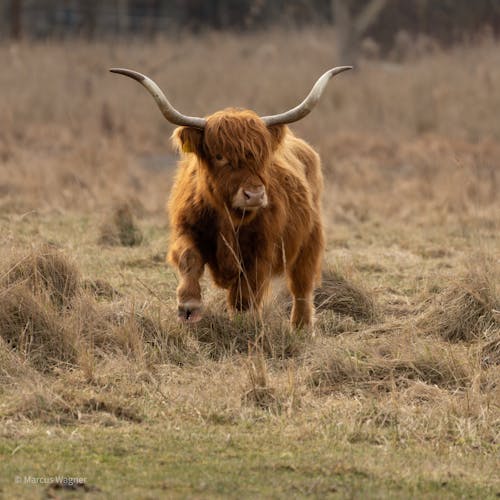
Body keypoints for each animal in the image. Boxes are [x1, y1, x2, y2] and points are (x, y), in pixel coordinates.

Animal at [110, 64, 352, 326]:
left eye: (263, 157)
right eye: (219, 156)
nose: (254, 195)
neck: (229, 217)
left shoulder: (262, 250)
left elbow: (245, 293)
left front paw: (245, 321)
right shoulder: (186, 230)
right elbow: (189, 258)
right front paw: (189, 305)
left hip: (310, 239)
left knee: (301, 287)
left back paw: (301, 327)